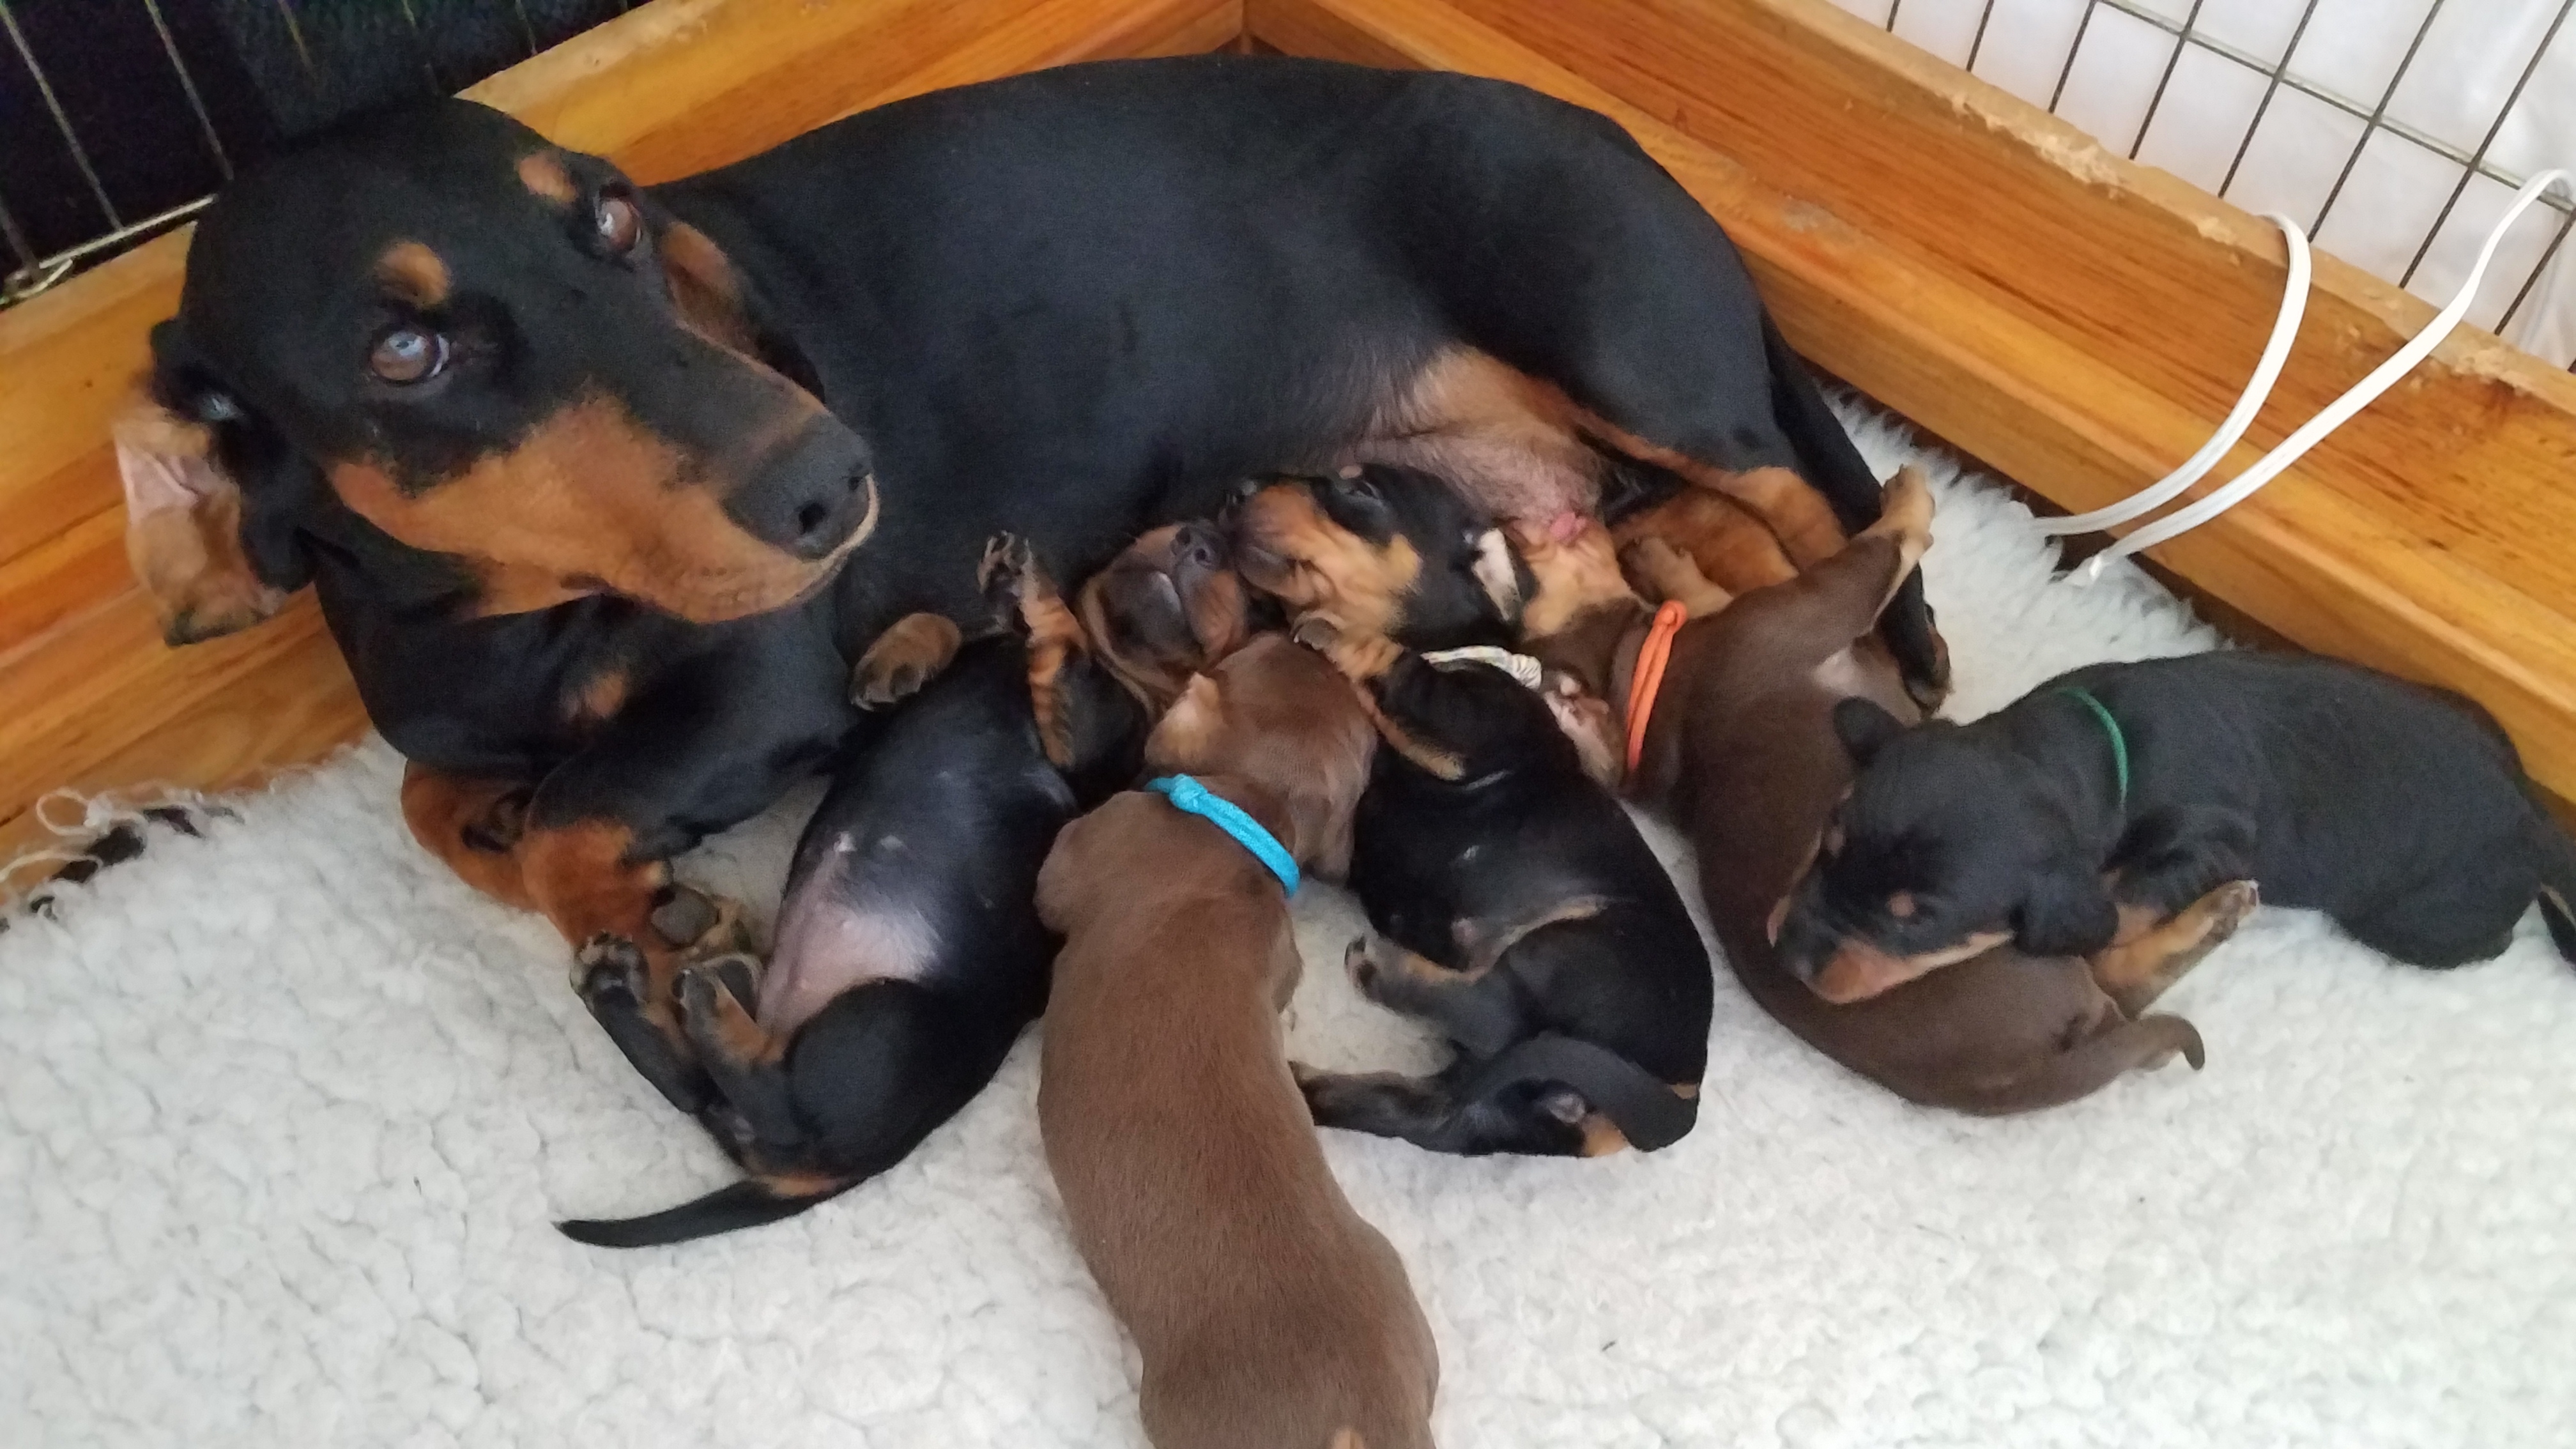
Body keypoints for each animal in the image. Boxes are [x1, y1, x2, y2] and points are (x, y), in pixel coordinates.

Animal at [1035, 636, 1442, 1443]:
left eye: (1246, 655)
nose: (1305, 635)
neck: (1243, 819)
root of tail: (1363, 1418)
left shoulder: (1090, 847)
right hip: (1398, 1295)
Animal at [1514, 469, 2225, 1108]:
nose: (1515, 522)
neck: (1647, 677)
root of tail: (2008, 1080)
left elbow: (1699, 589)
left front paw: (1659, 557)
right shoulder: (1826, 599)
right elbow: (1885, 545)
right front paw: (1909, 490)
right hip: (2037, 933)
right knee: (2119, 975)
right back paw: (2212, 914)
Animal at [1782, 649, 2576, 1000]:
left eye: (1916, 921)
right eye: (1825, 845)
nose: (1789, 954)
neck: (2097, 749)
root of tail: (2539, 821)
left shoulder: (2209, 842)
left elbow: (2119, 914)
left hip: (2415, 922)